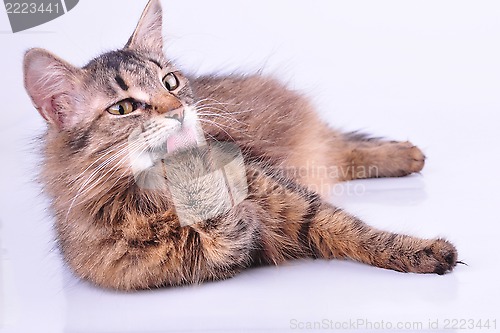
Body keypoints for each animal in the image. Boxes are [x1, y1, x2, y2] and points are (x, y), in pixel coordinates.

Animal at [22, 0, 458, 290]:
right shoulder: (206, 260)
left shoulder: (287, 196)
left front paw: (427, 252)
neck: (163, 191)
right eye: (124, 107)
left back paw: (408, 155)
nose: (178, 110)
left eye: (170, 82)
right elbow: (228, 237)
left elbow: (359, 233)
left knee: (343, 147)